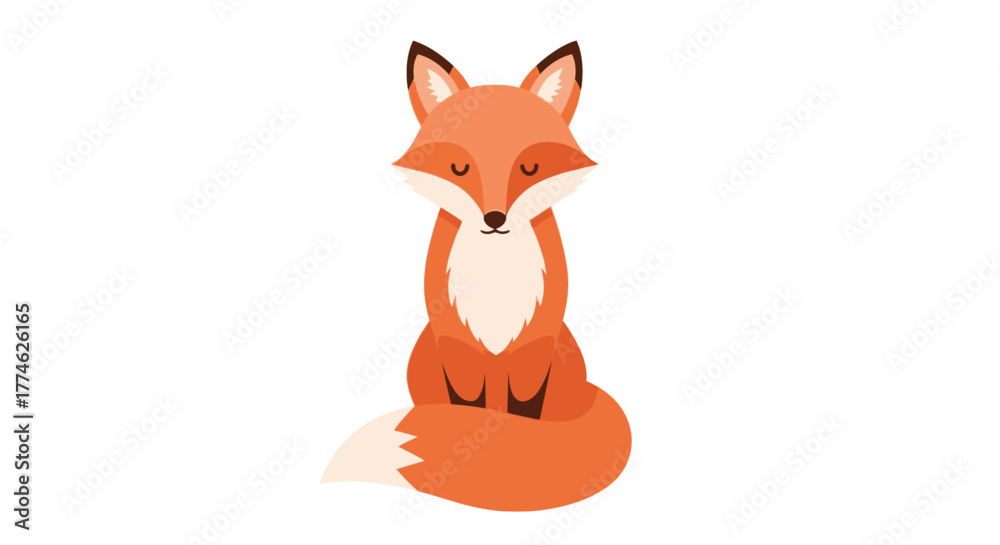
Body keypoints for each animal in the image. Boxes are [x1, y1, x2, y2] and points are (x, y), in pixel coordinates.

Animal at [322, 41, 631, 511]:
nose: (495, 218)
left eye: (530, 167)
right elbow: (468, 408)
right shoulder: (456, 341)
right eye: (459, 167)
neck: (495, 272)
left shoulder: (535, 343)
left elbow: (520, 410)